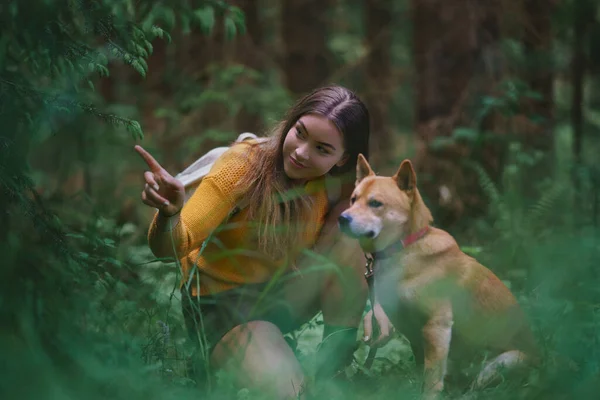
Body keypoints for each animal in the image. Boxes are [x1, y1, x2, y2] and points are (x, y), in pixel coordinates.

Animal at [338, 155, 540, 398]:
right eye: (353, 199)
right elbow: (422, 373)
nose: (342, 218)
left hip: (501, 363)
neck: (404, 248)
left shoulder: (437, 327)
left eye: (375, 203)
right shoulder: (414, 335)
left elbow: (431, 380)